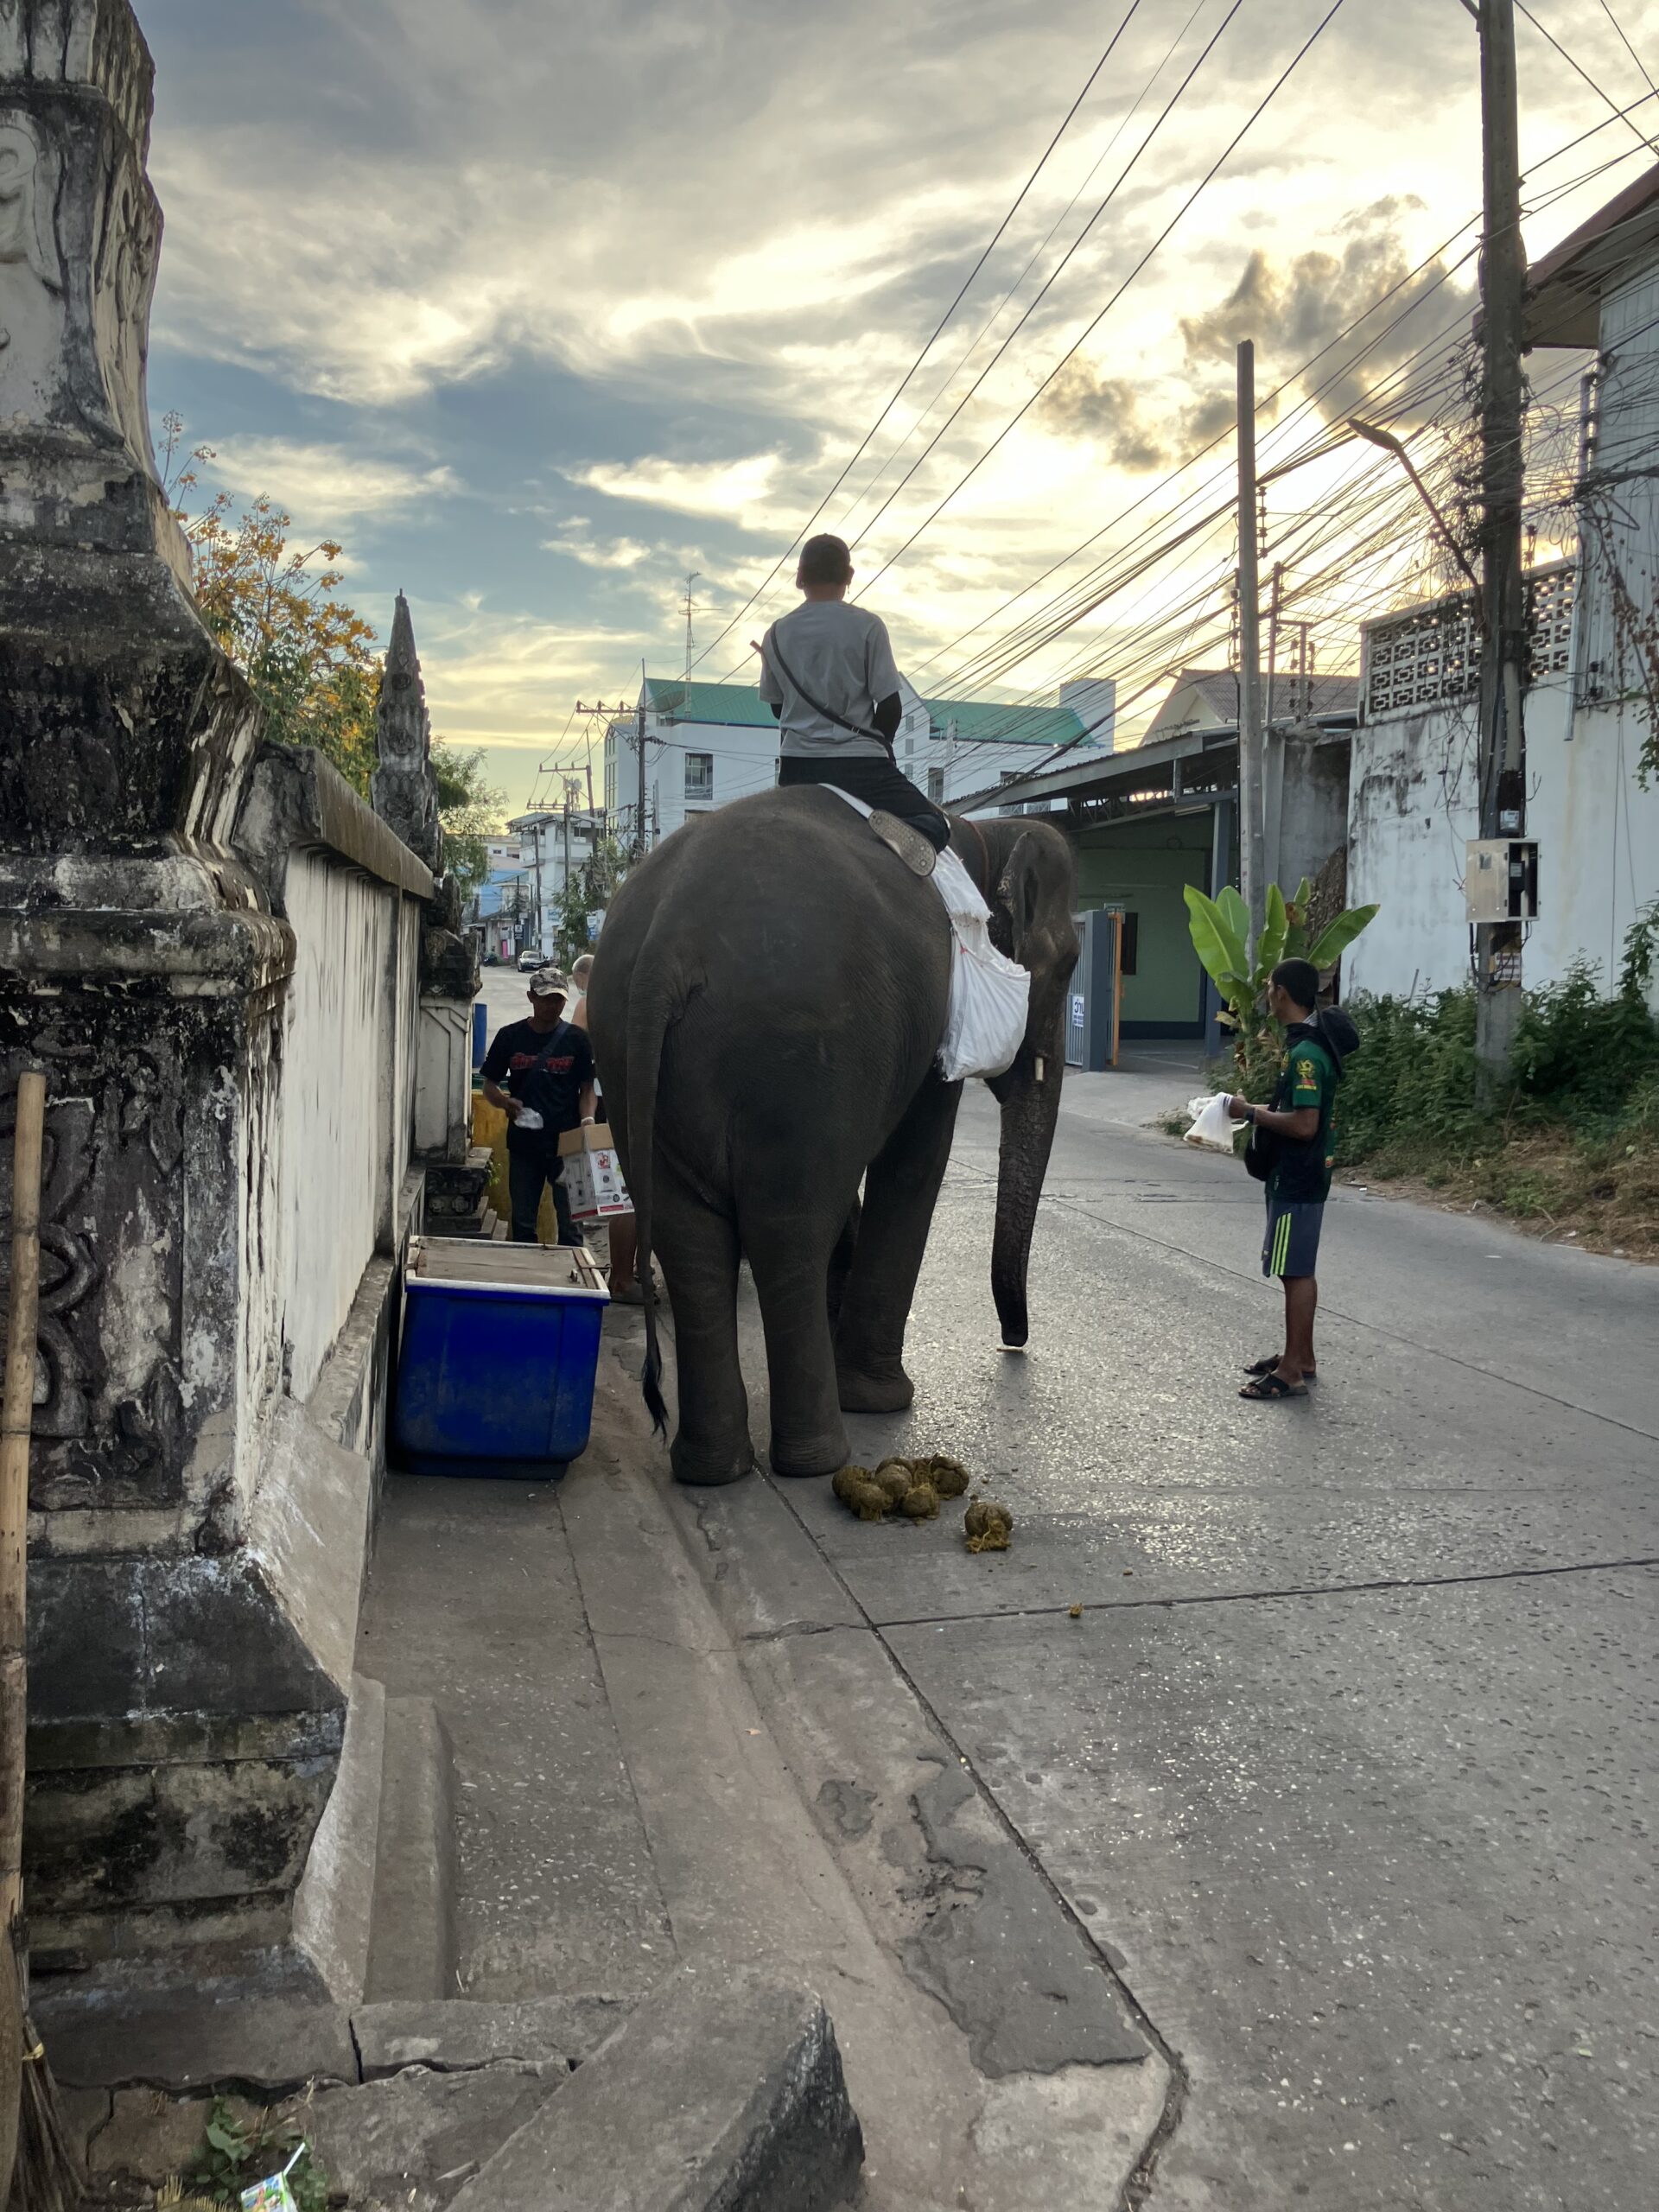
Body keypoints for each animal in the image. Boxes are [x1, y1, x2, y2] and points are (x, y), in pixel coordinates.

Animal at [586, 785, 1079, 1486]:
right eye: (1067, 966)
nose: (1014, 1341)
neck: (984, 835)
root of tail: (665, 948)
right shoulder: (938, 1011)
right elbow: (915, 1159)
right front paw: (882, 1399)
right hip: (800, 1052)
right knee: (787, 1231)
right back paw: (821, 1458)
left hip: (627, 1054)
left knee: (690, 1239)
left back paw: (713, 1468)